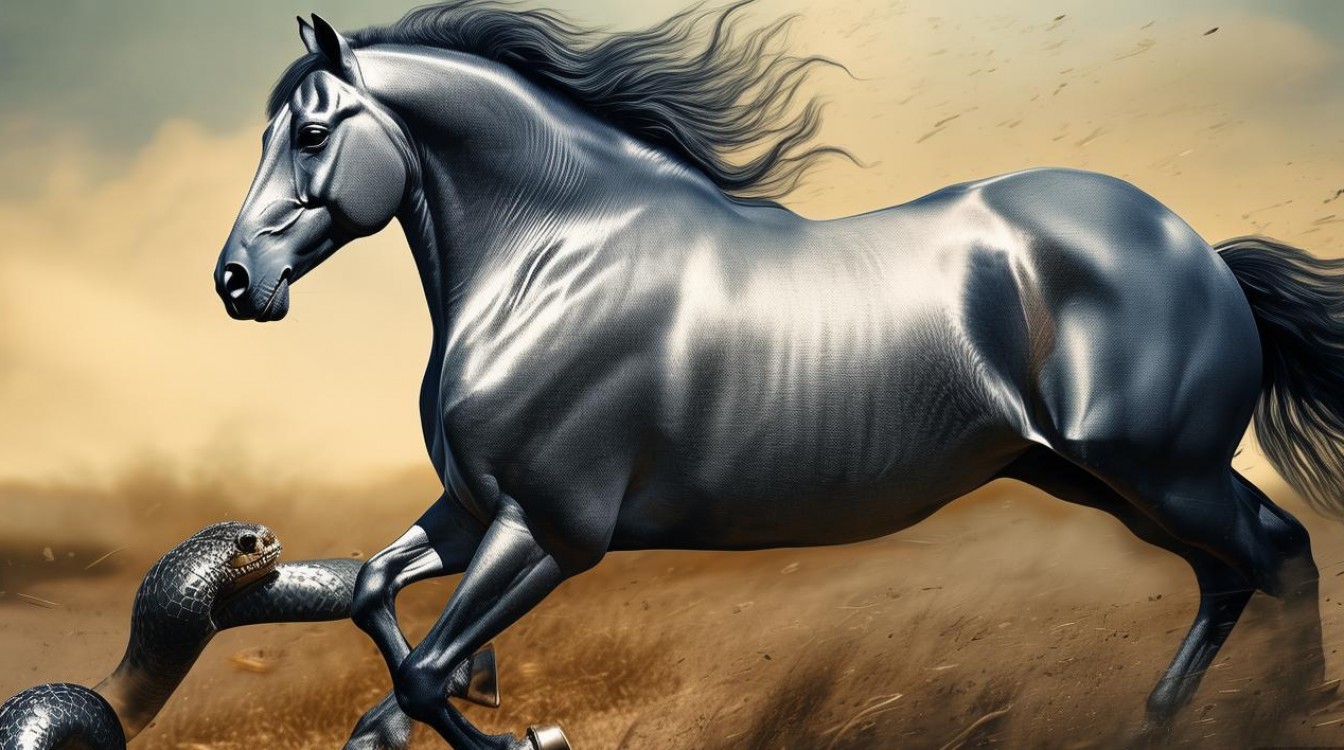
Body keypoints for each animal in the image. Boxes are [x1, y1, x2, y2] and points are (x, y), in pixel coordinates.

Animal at [214, 4, 1343, 748]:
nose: (235, 281)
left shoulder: (551, 532)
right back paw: (1162, 719)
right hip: (1101, 478)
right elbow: (374, 596)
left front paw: (513, 728)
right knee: (1230, 572)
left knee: (1279, 553)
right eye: (264, 131)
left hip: (1158, 469)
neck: (554, 257)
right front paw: (487, 713)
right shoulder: (475, 509)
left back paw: (1276, 717)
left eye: (309, 132)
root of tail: (1199, 250)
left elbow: (418, 677)